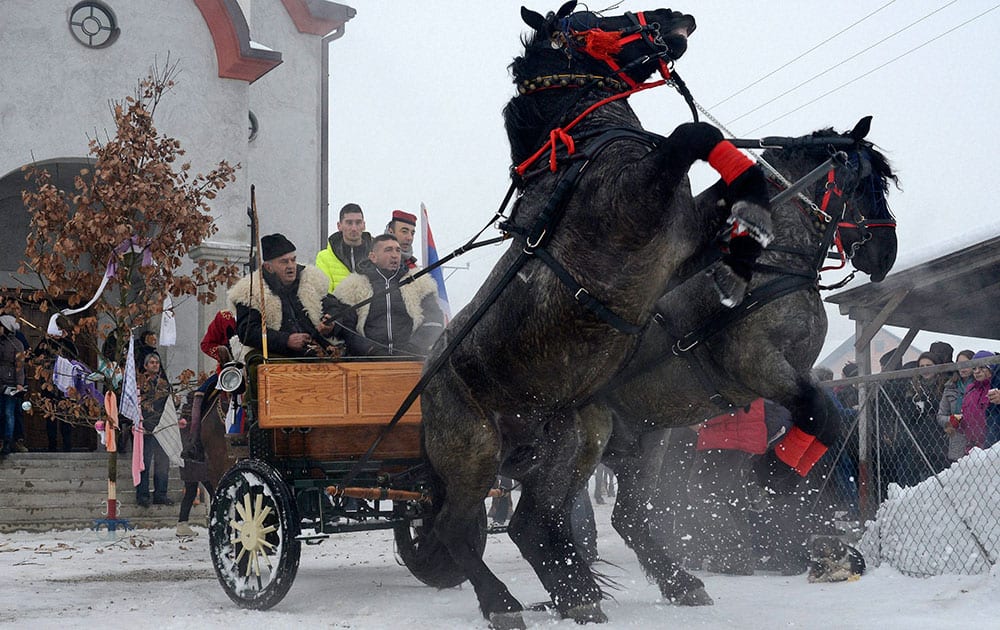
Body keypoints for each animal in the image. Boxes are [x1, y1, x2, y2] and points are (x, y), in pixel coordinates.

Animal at [418, 2, 776, 628]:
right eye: (590, 18)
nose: (678, 17)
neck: (584, 153)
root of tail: (424, 388)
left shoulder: (684, 244)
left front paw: (746, 240)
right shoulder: (639, 201)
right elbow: (694, 133)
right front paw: (753, 212)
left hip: (572, 437)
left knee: (533, 523)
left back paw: (588, 592)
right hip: (475, 455)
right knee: (457, 529)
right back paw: (503, 604)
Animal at [592, 119, 900, 608]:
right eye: (865, 183)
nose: (886, 252)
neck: (769, 265)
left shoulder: (792, 374)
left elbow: (823, 417)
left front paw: (777, 477)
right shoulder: (757, 364)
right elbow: (821, 413)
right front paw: (769, 476)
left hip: (644, 441)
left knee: (628, 518)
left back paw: (678, 582)